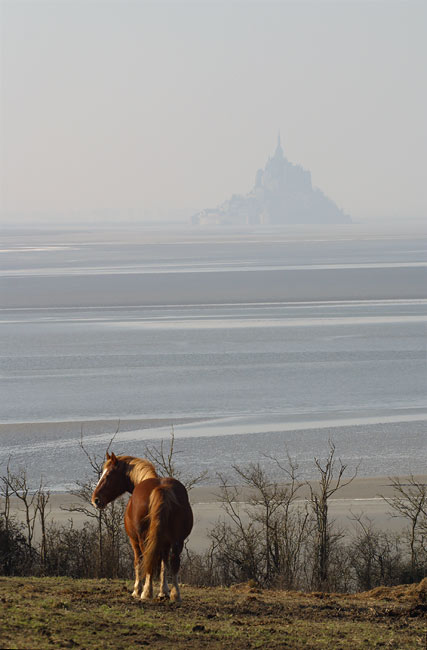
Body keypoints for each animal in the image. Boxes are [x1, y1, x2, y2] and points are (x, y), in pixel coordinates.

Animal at [93, 450, 196, 596]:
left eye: (108, 475)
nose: (95, 499)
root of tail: (161, 488)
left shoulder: (134, 540)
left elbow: (138, 562)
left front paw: (137, 589)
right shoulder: (165, 542)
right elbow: (164, 563)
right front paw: (163, 591)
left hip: (143, 538)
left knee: (148, 559)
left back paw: (146, 592)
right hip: (178, 540)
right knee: (174, 562)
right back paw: (175, 594)